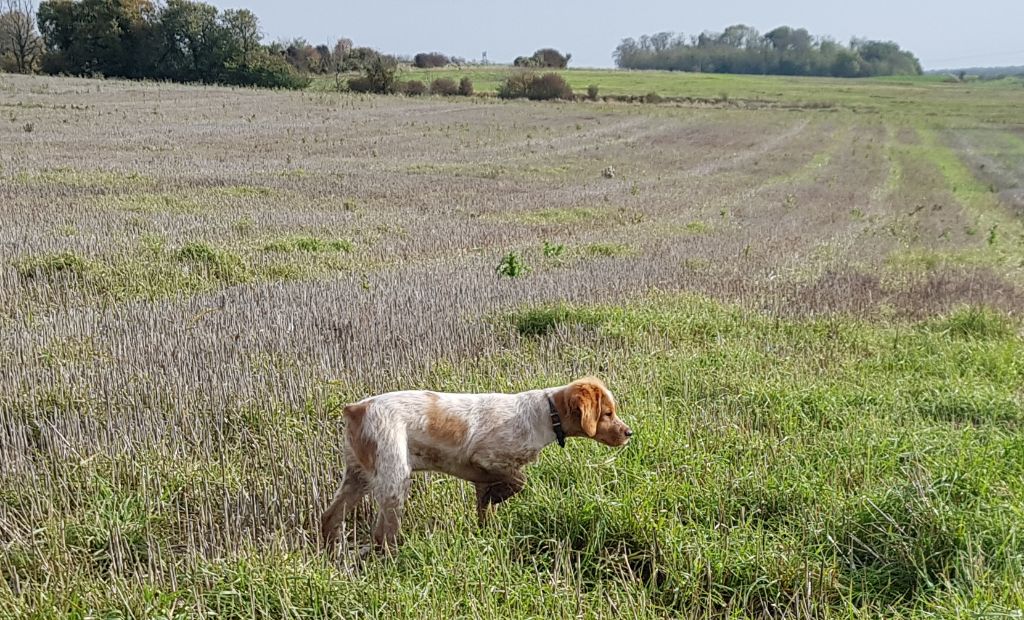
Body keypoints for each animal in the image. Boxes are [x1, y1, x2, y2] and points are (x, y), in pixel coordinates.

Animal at [319, 377, 630, 549]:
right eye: (607, 413)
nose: (629, 433)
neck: (544, 414)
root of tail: (357, 408)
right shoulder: (488, 457)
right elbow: (518, 481)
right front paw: (499, 496)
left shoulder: (481, 477)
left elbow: (485, 507)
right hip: (395, 478)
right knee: (383, 534)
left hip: (357, 476)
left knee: (330, 517)